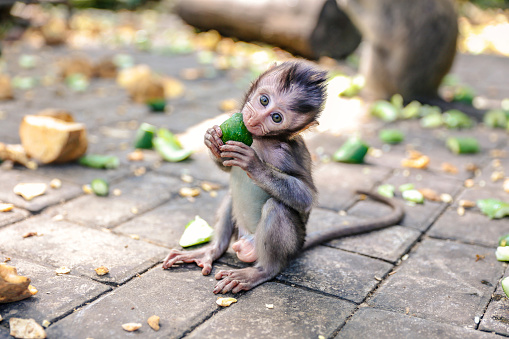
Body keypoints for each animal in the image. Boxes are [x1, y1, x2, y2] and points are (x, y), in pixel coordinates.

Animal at [162, 61, 400, 294]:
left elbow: (306, 196)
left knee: (277, 208)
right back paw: (211, 250)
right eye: (264, 100)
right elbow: (226, 165)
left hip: (288, 243)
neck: (260, 140)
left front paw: (254, 164)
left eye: (276, 118)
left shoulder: (287, 153)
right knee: (231, 197)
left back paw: (262, 271)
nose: (255, 119)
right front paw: (211, 139)